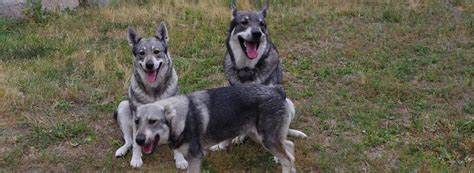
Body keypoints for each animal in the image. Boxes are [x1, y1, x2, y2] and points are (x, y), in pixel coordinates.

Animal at [113, 21, 189, 169]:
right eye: (141, 53)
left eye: (156, 52)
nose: (149, 65)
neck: (154, 89)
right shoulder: (137, 119)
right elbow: (136, 143)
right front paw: (136, 159)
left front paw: (180, 159)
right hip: (123, 107)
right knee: (129, 140)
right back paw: (122, 150)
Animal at [134, 84, 296, 173]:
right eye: (136, 121)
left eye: (153, 121)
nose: (138, 140)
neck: (182, 117)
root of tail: (277, 90)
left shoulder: (195, 157)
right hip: (260, 137)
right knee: (290, 147)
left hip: (267, 139)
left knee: (287, 159)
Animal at [218, 0, 308, 151]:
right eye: (244, 22)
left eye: (261, 24)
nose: (257, 33)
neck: (248, 69)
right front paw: (223, 143)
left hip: (288, 103)